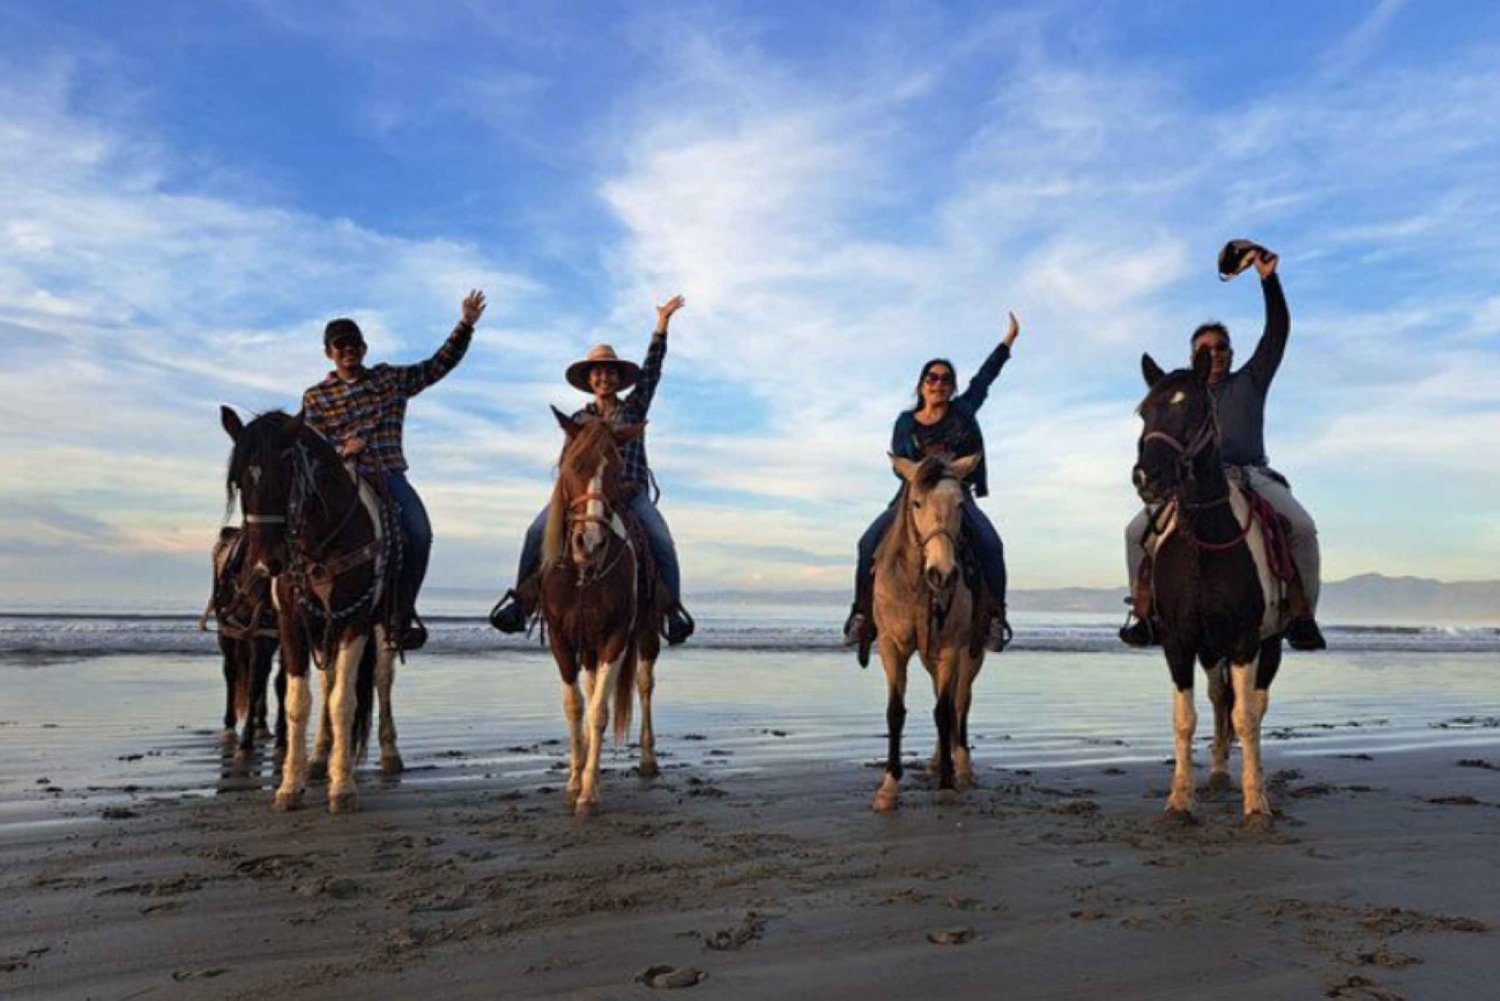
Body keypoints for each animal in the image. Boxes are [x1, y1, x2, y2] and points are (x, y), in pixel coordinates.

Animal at [201, 528, 285, 756]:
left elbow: (280, 682)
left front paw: (283, 738)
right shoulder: (258, 635)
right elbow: (253, 684)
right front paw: (246, 740)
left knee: (263, 673)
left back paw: (262, 725)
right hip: (228, 634)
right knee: (231, 672)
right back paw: (230, 726)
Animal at [219, 408, 399, 816]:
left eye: (285, 476)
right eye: (239, 481)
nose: (265, 564)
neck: (322, 543)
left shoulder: (355, 621)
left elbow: (343, 702)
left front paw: (342, 787)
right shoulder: (292, 622)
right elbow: (298, 701)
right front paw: (290, 785)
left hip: (382, 627)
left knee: (380, 680)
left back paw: (388, 753)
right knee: (328, 681)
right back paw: (319, 758)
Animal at [534, 408, 663, 816]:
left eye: (618, 469)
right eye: (572, 463)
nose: (589, 542)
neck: (583, 574)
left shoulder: (616, 637)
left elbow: (599, 712)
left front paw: (589, 793)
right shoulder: (560, 637)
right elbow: (576, 705)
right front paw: (576, 781)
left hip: (646, 634)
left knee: (644, 684)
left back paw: (648, 759)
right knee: (592, 688)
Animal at [870, 453, 984, 816]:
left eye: (961, 504)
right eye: (917, 503)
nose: (943, 574)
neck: (918, 586)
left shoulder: (951, 649)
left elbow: (945, 712)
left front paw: (947, 784)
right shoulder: (891, 647)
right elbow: (895, 712)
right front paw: (888, 788)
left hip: (970, 655)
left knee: (959, 702)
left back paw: (962, 766)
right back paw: (936, 760)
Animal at [1134, 352, 1290, 828]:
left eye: (1194, 407)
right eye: (1144, 411)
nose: (1146, 476)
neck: (1205, 539)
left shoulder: (1244, 639)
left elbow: (1247, 716)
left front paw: (1256, 803)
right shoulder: (1179, 641)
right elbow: (1186, 717)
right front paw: (1178, 801)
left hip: (1268, 644)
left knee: (1253, 704)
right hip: (1209, 648)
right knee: (1220, 698)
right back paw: (1220, 771)